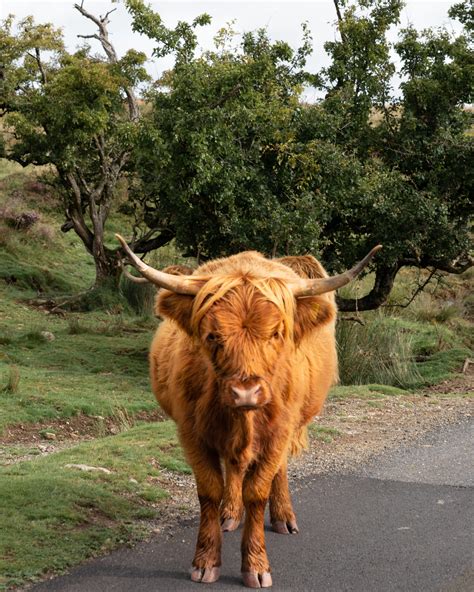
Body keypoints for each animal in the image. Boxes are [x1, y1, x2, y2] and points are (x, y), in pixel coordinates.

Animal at [116, 235, 384, 588]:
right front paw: (206, 561)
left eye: (276, 333)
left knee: (276, 471)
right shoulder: (191, 432)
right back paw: (231, 513)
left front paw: (256, 565)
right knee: (233, 467)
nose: (245, 392)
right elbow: (209, 491)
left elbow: (257, 492)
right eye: (212, 335)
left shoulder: (279, 432)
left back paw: (284, 517)